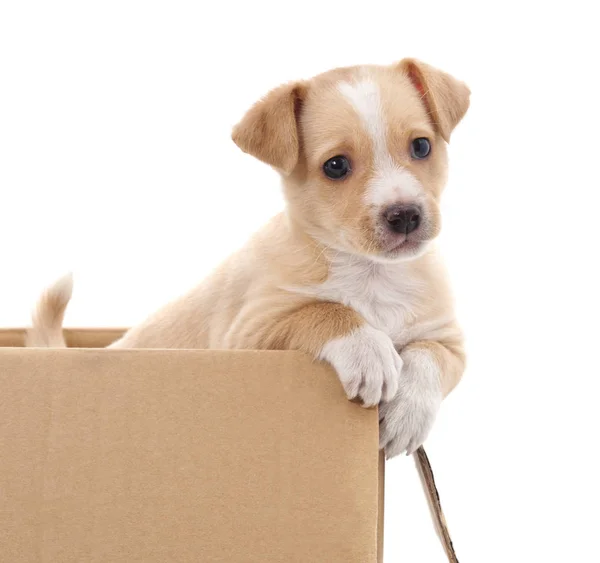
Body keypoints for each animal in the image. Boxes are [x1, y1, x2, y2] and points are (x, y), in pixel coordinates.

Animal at [28, 58, 468, 462]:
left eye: (421, 146)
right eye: (336, 166)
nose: (405, 215)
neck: (371, 273)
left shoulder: (449, 342)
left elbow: (428, 356)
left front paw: (408, 413)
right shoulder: (248, 336)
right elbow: (322, 309)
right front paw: (368, 350)